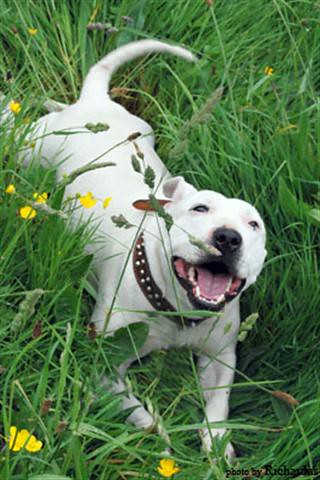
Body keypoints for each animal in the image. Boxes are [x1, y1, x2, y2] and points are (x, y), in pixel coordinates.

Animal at [17, 39, 266, 460]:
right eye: (200, 208)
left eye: (253, 226)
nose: (228, 237)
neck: (177, 312)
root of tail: (95, 101)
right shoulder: (104, 363)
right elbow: (136, 410)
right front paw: (159, 436)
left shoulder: (220, 358)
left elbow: (218, 405)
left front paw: (216, 447)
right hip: (31, 149)